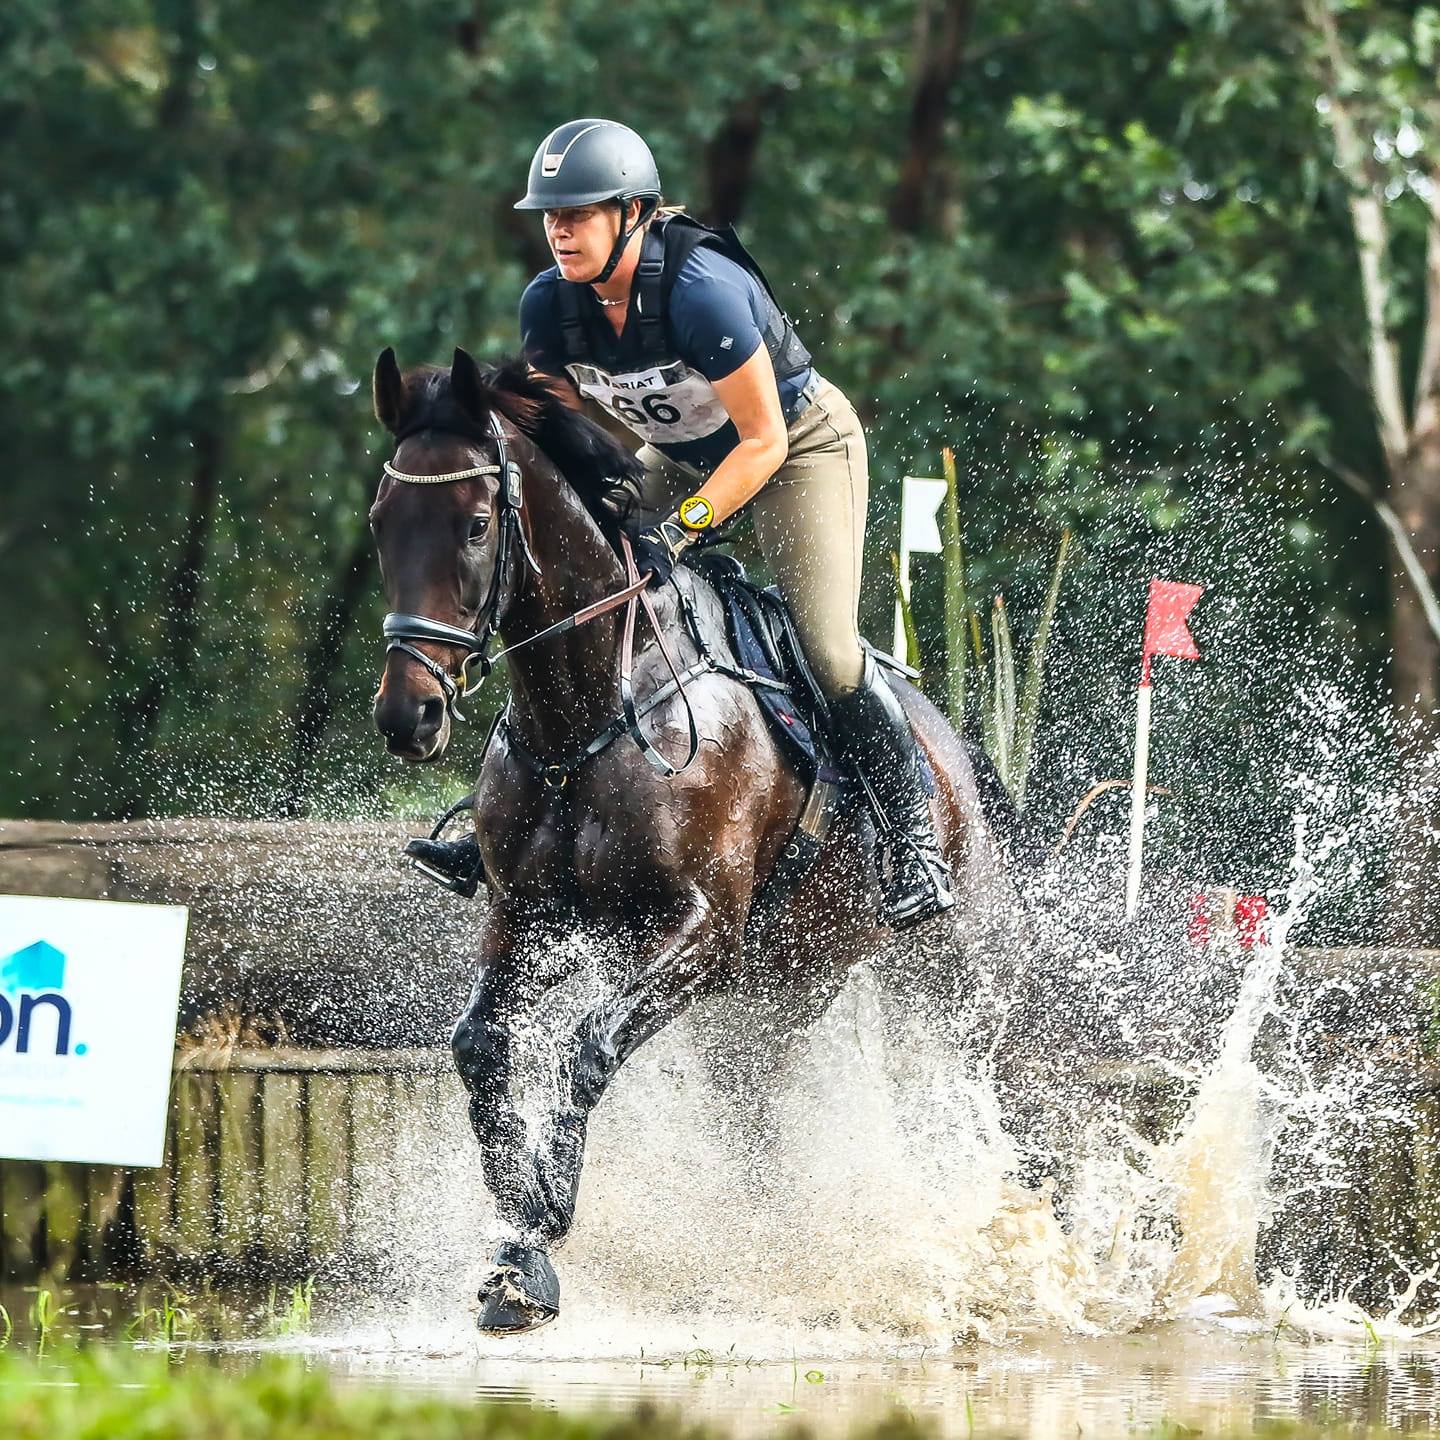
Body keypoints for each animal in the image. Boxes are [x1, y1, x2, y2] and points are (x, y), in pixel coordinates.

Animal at [368, 345, 1025, 1324]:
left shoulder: (698, 930)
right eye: (380, 524)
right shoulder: (530, 919)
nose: (407, 716)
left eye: (478, 525)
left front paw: (546, 1217)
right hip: (775, 996)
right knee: (754, 1114)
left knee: (969, 1085)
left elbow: (587, 1050)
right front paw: (516, 1249)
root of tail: (954, 746)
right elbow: (481, 1047)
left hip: (943, 978)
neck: (591, 709)